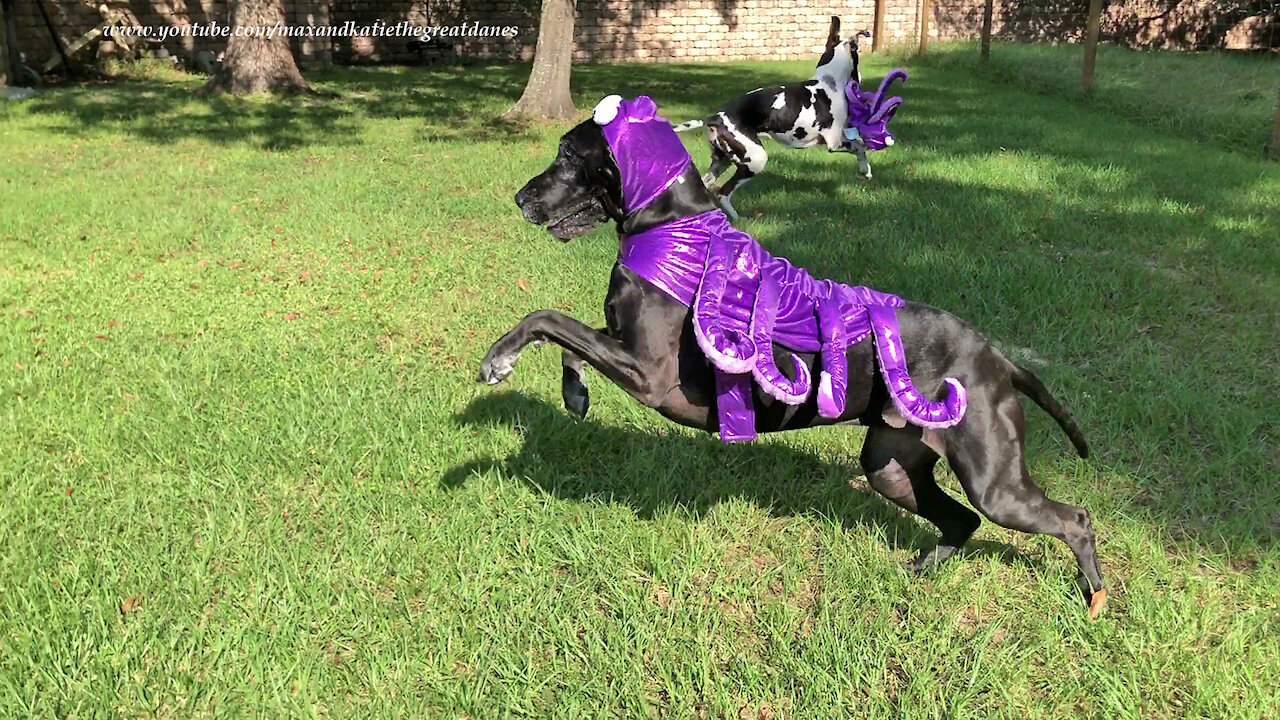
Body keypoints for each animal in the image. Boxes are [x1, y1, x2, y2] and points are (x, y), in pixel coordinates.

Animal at [670, 16, 870, 219]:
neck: (828, 84)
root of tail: (715, 117)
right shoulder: (834, 143)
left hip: (722, 161)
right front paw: (866, 170)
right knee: (724, 192)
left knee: (707, 185)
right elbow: (861, 145)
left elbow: (860, 144)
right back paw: (739, 219)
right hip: (755, 160)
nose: (860, 79)